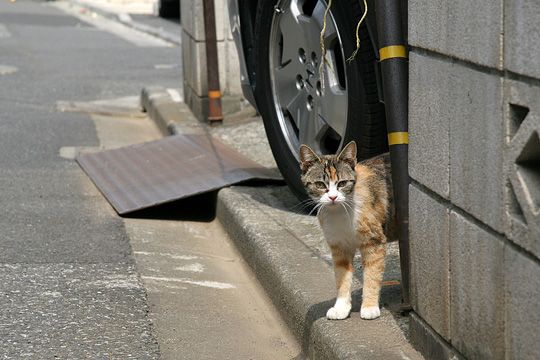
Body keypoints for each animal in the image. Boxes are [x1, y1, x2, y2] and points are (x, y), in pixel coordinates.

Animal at [300, 141, 392, 320]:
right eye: (320, 184)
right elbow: (342, 278)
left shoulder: (374, 242)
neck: (339, 212)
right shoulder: (339, 246)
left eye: (342, 183)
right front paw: (341, 307)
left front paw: (369, 307)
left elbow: (372, 275)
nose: (333, 197)